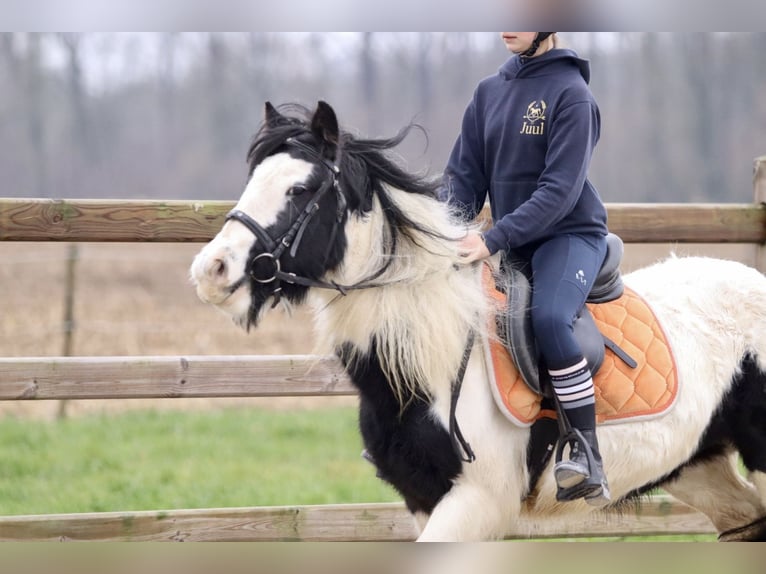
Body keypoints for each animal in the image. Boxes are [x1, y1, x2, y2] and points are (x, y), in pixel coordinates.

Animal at [192, 101, 766, 544]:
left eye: (300, 189)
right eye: (252, 181)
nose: (210, 270)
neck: (429, 356)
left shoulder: (476, 502)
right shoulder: (425, 499)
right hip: (699, 467)